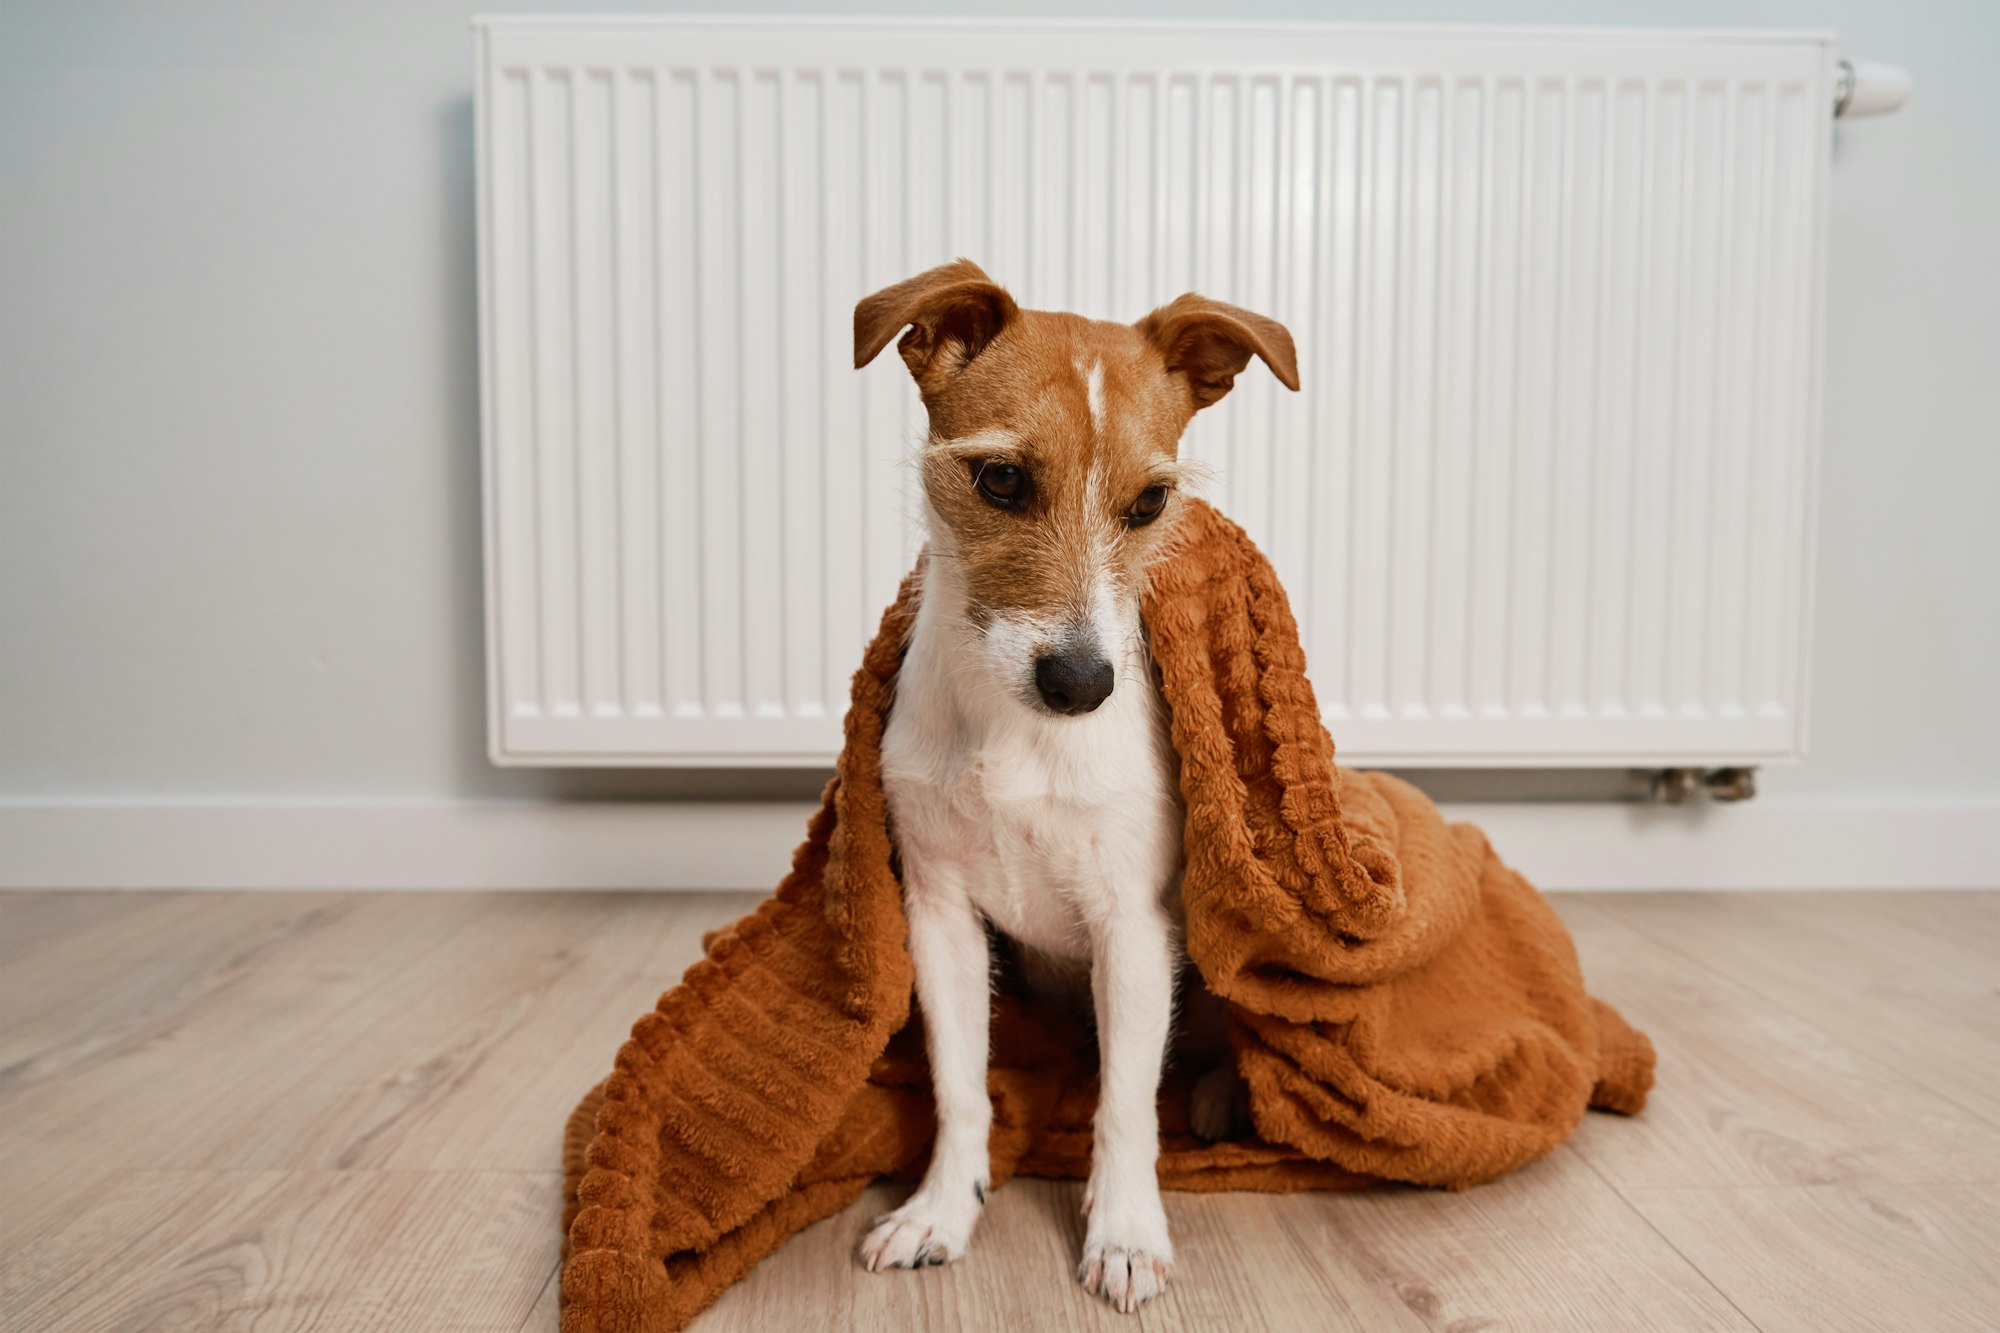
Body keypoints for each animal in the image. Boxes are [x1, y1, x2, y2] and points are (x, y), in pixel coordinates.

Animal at [848, 260, 1296, 1304]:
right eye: (1001, 478)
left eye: (1151, 503)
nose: (1085, 685)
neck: (1017, 734)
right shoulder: (939, 916)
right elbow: (961, 1084)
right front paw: (942, 1208)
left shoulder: (1132, 928)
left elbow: (1126, 1105)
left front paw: (1125, 1231)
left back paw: (1221, 1096)